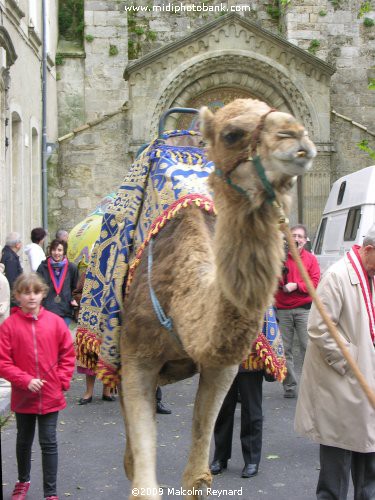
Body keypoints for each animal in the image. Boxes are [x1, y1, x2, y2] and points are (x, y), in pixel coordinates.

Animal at [119, 96, 314, 496]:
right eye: (232, 133)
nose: (296, 136)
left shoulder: (221, 368)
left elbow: (197, 475)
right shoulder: (135, 360)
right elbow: (144, 482)